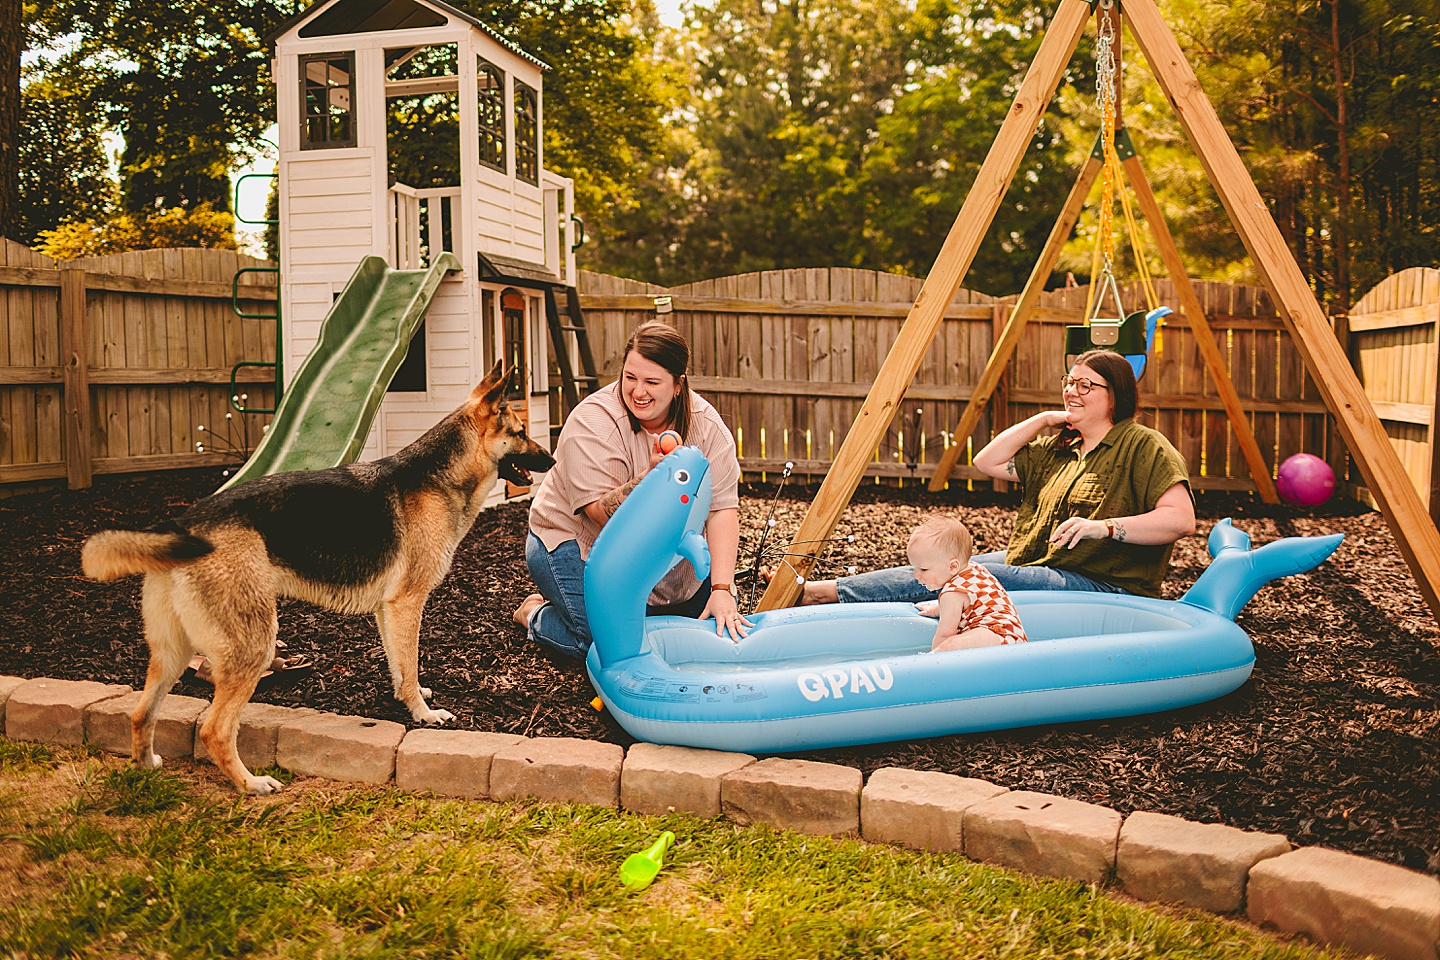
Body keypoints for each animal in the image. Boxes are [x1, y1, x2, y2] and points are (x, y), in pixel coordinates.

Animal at [80, 359, 550, 794]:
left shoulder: (388, 610)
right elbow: (411, 663)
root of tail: (183, 525)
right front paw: (423, 714)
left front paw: (408, 698)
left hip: (173, 652)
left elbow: (400, 666)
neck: (437, 476)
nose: (553, 457)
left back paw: (147, 767)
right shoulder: (407, 603)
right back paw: (251, 784)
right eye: (522, 431)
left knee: (141, 712)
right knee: (214, 729)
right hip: (254, 644)